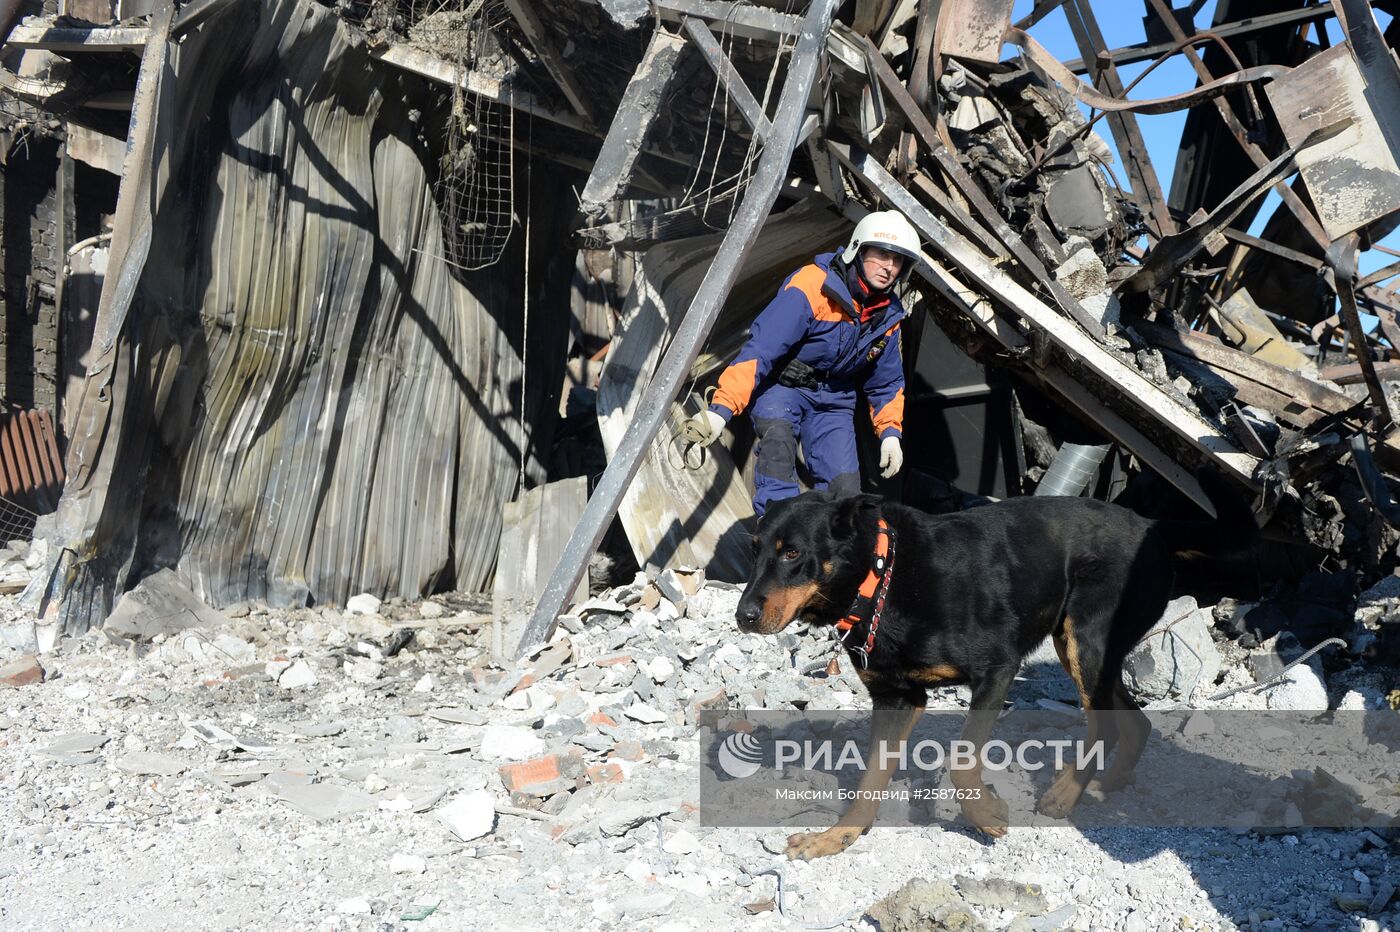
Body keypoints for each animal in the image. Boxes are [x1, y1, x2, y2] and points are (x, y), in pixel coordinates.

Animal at [739, 475, 1254, 862]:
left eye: (792, 553)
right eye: (755, 549)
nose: (743, 616)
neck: (882, 574)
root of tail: (1152, 525)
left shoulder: (997, 671)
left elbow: (962, 762)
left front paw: (986, 816)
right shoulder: (896, 698)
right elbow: (869, 782)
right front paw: (837, 837)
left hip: (1086, 641)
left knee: (1105, 724)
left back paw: (1067, 793)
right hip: (1083, 650)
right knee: (1135, 721)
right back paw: (1105, 785)